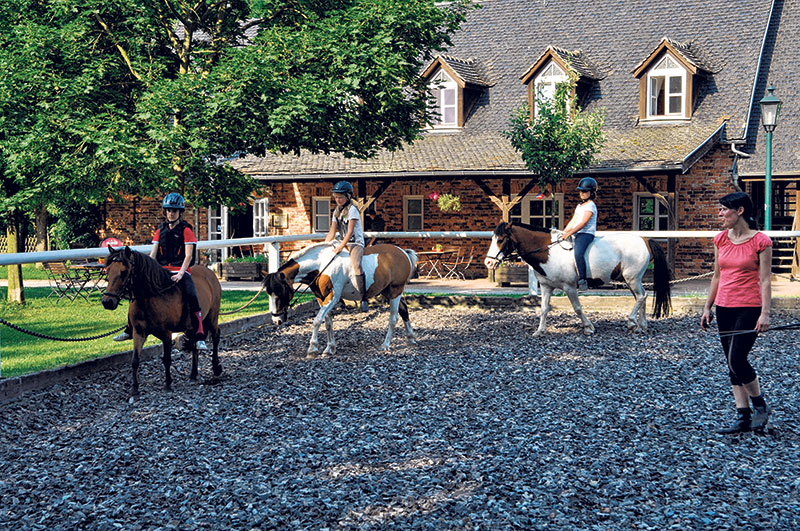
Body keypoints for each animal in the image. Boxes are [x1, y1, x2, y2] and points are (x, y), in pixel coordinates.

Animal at [102, 247, 225, 396]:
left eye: (124, 271)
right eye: (108, 270)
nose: (107, 302)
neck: (151, 297)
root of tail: (209, 272)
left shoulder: (166, 334)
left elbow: (167, 359)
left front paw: (167, 384)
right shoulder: (138, 333)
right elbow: (135, 360)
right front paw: (135, 388)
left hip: (212, 317)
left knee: (216, 336)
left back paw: (216, 368)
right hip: (191, 326)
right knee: (194, 342)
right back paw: (193, 373)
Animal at [266, 243, 422, 356]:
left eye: (280, 292)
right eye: (269, 293)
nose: (276, 320)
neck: (321, 266)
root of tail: (403, 252)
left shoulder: (332, 298)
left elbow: (317, 320)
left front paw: (312, 347)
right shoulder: (321, 299)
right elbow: (328, 323)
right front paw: (330, 348)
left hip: (395, 290)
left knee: (393, 318)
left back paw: (386, 345)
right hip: (388, 291)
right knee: (404, 310)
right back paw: (411, 338)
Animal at [484, 222, 672, 334]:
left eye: (501, 240)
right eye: (493, 238)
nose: (488, 262)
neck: (548, 251)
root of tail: (645, 240)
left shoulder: (569, 287)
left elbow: (577, 308)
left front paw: (588, 327)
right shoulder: (546, 286)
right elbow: (544, 308)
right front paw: (540, 331)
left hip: (631, 278)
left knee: (641, 296)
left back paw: (632, 322)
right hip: (632, 280)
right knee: (642, 296)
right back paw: (641, 325)